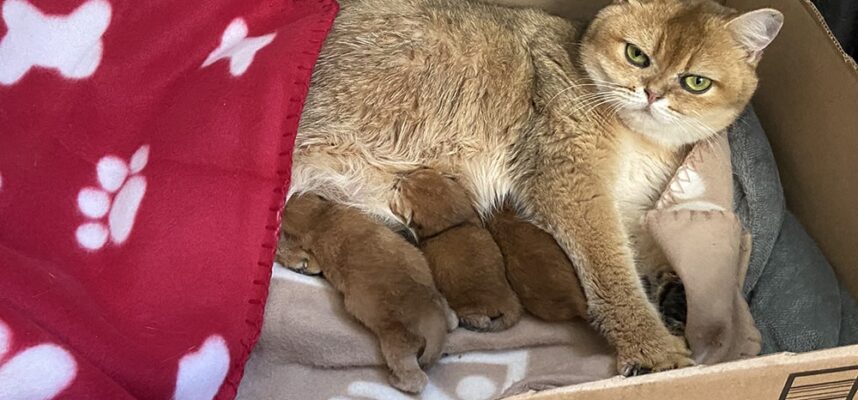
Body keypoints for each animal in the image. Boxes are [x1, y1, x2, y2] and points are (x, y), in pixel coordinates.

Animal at [278, 195, 458, 394]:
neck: (320, 216)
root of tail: (430, 313)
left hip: (398, 346)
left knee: (415, 378)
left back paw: (397, 381)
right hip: (436, 297)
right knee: (450, 315)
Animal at [290, 0, 784, 376]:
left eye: (695, 82)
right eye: (636, 55)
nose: (651, 94)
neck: (642, 142)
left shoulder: (627, 206)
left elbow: (643, 250)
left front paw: (673, 295)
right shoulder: (574, 185)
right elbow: (613, 270)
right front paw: (650, 348)